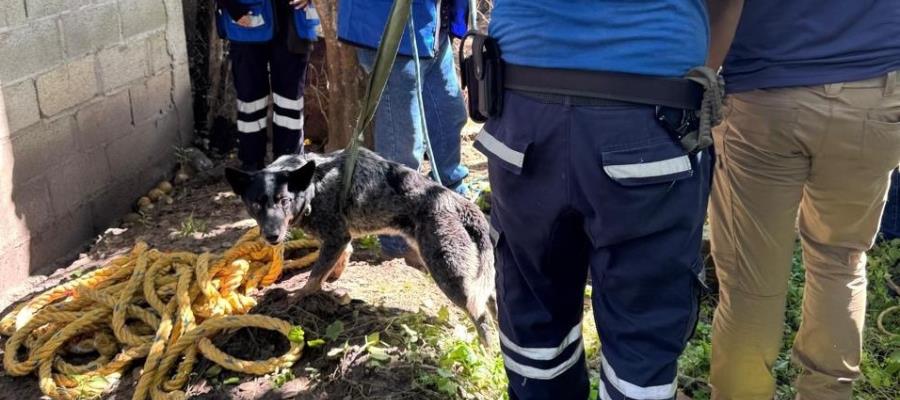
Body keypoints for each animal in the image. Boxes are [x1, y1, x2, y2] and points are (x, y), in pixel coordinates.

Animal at [222, 148, 496, 346]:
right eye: (256, 204)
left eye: (284, 200)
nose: (272, 236)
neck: (314, 186)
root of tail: (463, 205)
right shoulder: (341, 238)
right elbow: (338, 260)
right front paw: (335, 277)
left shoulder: (336, 236)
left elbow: (313, 278)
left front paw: (298, 296)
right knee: (491, 301)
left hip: (449, 275)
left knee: (481, 317)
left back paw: (486, 351)